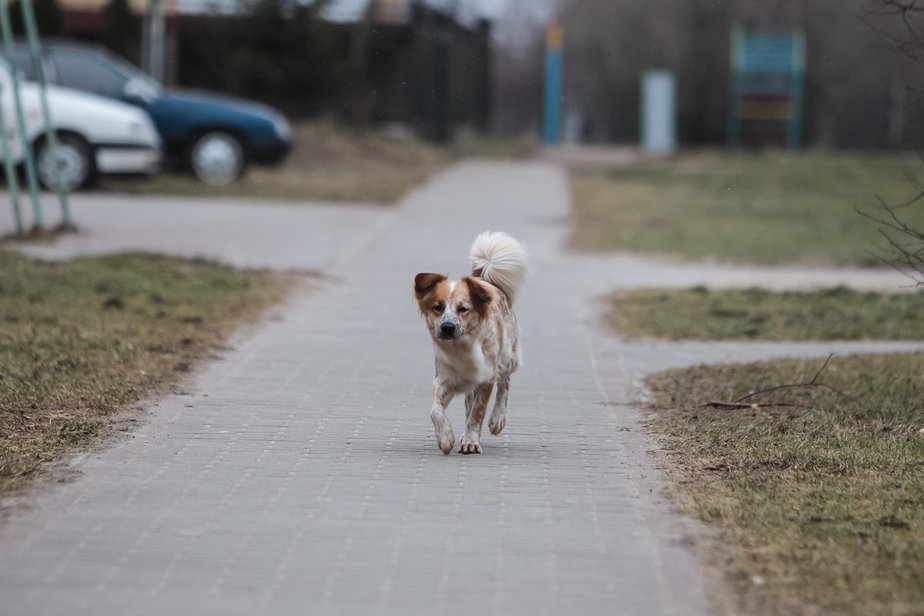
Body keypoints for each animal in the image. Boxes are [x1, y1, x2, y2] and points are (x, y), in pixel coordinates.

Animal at [412, 231, 528, 452]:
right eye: (438, 307)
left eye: (463, 308)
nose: (447, 327)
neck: (462, 348)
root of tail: (484, 280)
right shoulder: (444, 379)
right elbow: (436, 412)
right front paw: (446, 438)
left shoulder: (486, 378)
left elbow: (478, 412)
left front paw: (471, 441)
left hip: (509, 357)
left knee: (505, 384)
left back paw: (497, 419)